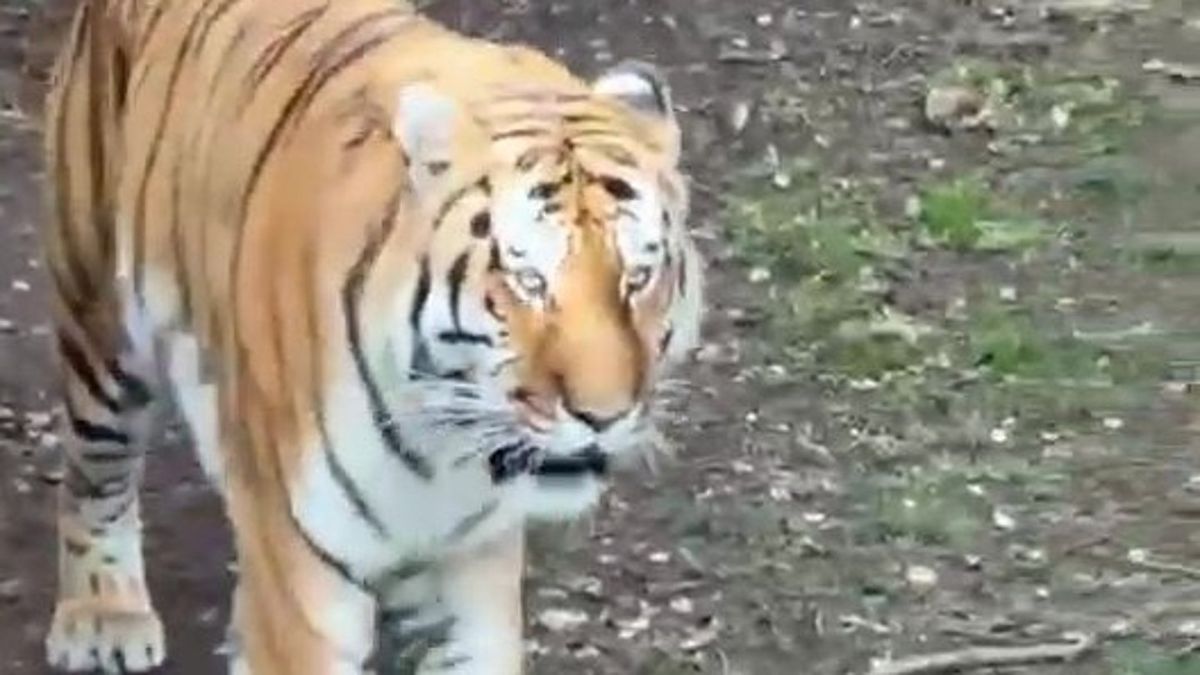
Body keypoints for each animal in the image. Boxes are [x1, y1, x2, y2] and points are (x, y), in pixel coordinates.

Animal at [39, 0, 704, 672]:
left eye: (638, 277)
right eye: (528, 281)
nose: (603, 417)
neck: (442, 450)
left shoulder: (471, 568)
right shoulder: (301, 575)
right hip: (99, 317)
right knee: (95, 473)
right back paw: (104, 615)